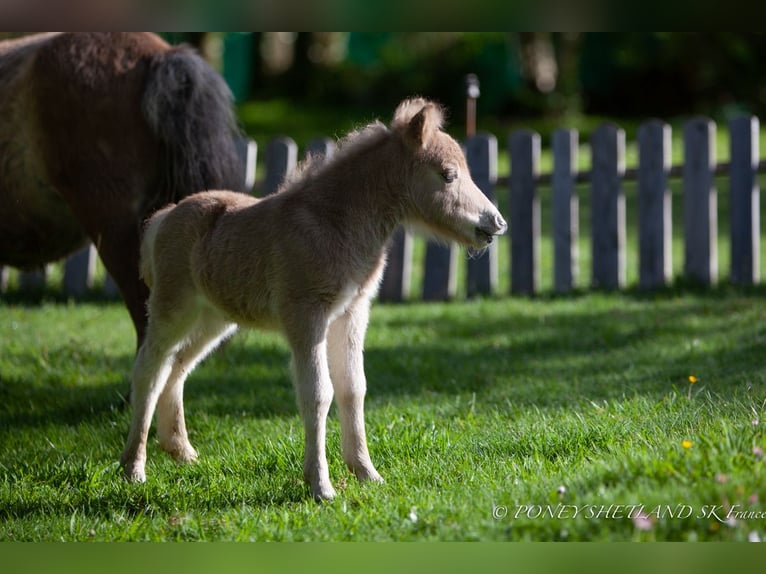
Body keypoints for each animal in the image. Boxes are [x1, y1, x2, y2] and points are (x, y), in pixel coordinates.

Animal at [121, 98, 510, 500]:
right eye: (448, 175)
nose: (496, 223)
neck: (337, 224)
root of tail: (165, 217)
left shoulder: (352, 313)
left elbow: (354, 388)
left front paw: (366, 472)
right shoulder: (306, 316)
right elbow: (318, 393)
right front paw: (320, 485)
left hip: (214, 318)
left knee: (178, 366)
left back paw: (181, 451)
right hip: (173, 307)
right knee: (149, 368)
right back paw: (134, 468)